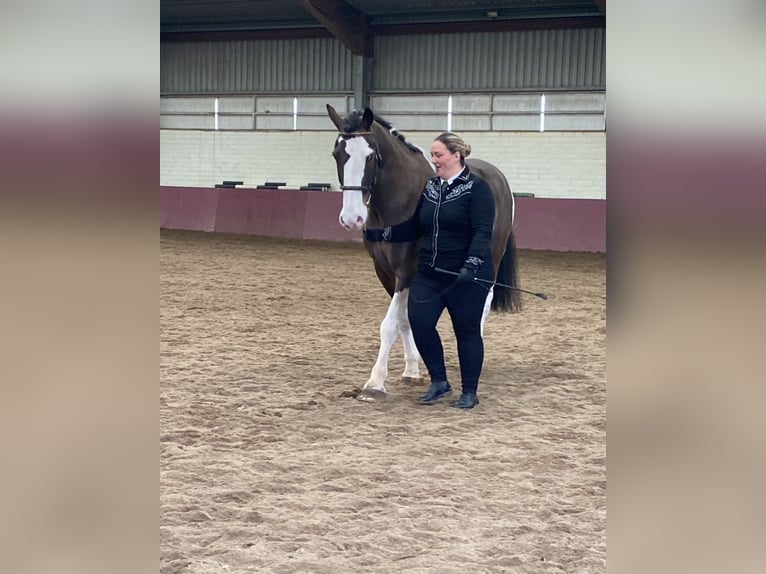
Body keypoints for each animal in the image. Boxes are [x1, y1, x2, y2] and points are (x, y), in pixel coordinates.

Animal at [326, 104, 521, 401]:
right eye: (338, 154)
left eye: (370, 156)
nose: (352, 218)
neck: (399, 200)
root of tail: (498, 177)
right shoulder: (385, 272)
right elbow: (406, 320)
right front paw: (412, 370)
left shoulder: (406, 271)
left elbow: (390, 324)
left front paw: (375, 383)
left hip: (491, 260)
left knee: (482, 304)